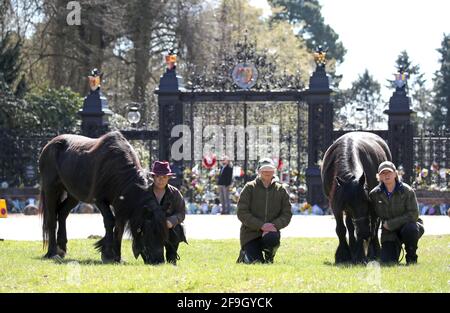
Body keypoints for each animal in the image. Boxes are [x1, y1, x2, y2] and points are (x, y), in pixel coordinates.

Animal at [37, 130, 168, 262]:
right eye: (152, 232)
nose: (159, 260)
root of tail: (48, 145)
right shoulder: (100, 200)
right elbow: (110, 221)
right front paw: (108, 254)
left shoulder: (121, 205)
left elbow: (119, 227)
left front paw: (117, 257)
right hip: (51, 189)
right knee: (52, 219)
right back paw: (52, 252)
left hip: (73, 195)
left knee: (62, 213)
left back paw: (61, 248)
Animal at [320, 132, 390, 264]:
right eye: (348, 203)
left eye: (366, 201)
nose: (364, 232)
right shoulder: (336, 206)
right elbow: (341, 229)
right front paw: (343, 255)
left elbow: (372, 226)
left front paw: (361, 254)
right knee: (350, 225)